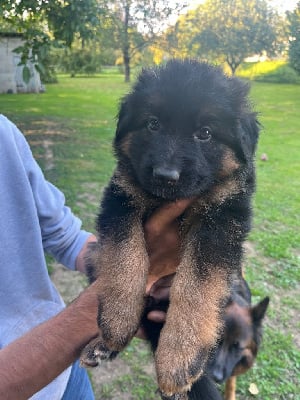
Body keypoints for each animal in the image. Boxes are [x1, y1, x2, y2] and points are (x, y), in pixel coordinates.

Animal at [80, 57, 260, 398]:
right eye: (153, 124)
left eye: (205, 133)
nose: (165, 175)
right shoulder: (121, 197)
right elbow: (125, 256)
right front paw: (117, 318)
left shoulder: (221, 220)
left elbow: (196, 289)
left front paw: (179, 358)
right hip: (94, 254)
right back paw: (102, 346)